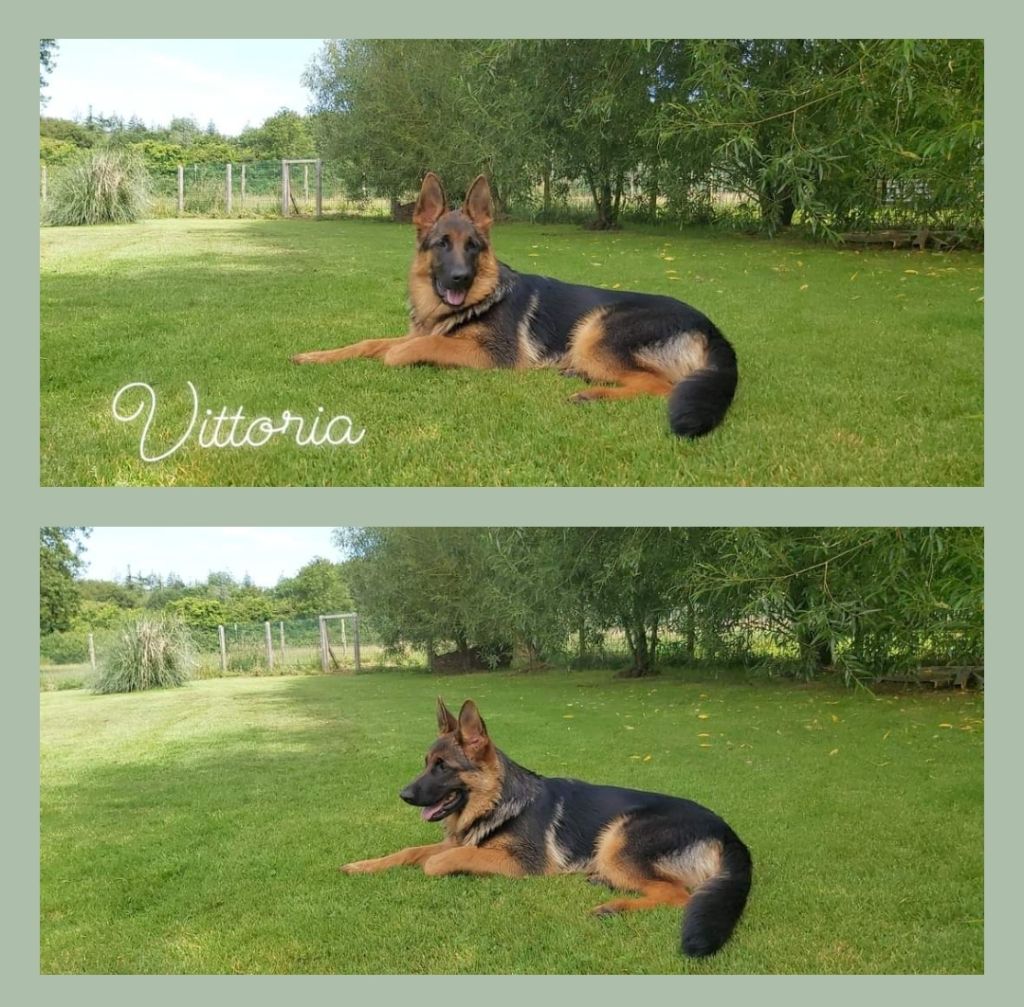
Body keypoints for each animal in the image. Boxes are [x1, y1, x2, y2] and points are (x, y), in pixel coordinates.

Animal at [292, 172, 741, 436]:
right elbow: (370, 342)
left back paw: (593, 394)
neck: (474, 301)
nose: (460, 278)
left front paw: (400, 354)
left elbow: (416, 346)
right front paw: (315, 355)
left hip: (597, 330)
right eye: (442, 244)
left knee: (663, 384)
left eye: (473, 247)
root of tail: (714, 328)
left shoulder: (492, 355)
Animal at [344, 696, 753, 958]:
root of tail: (729, 832)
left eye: (443, 767)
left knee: (678, 894)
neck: (499, 801)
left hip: (619, 838)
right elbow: (412, 851)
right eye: (426, 763)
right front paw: (362, 865)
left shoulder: (521, 863)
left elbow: (438, 861)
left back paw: (614, 906)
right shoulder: (459, 841)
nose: (403, 794)